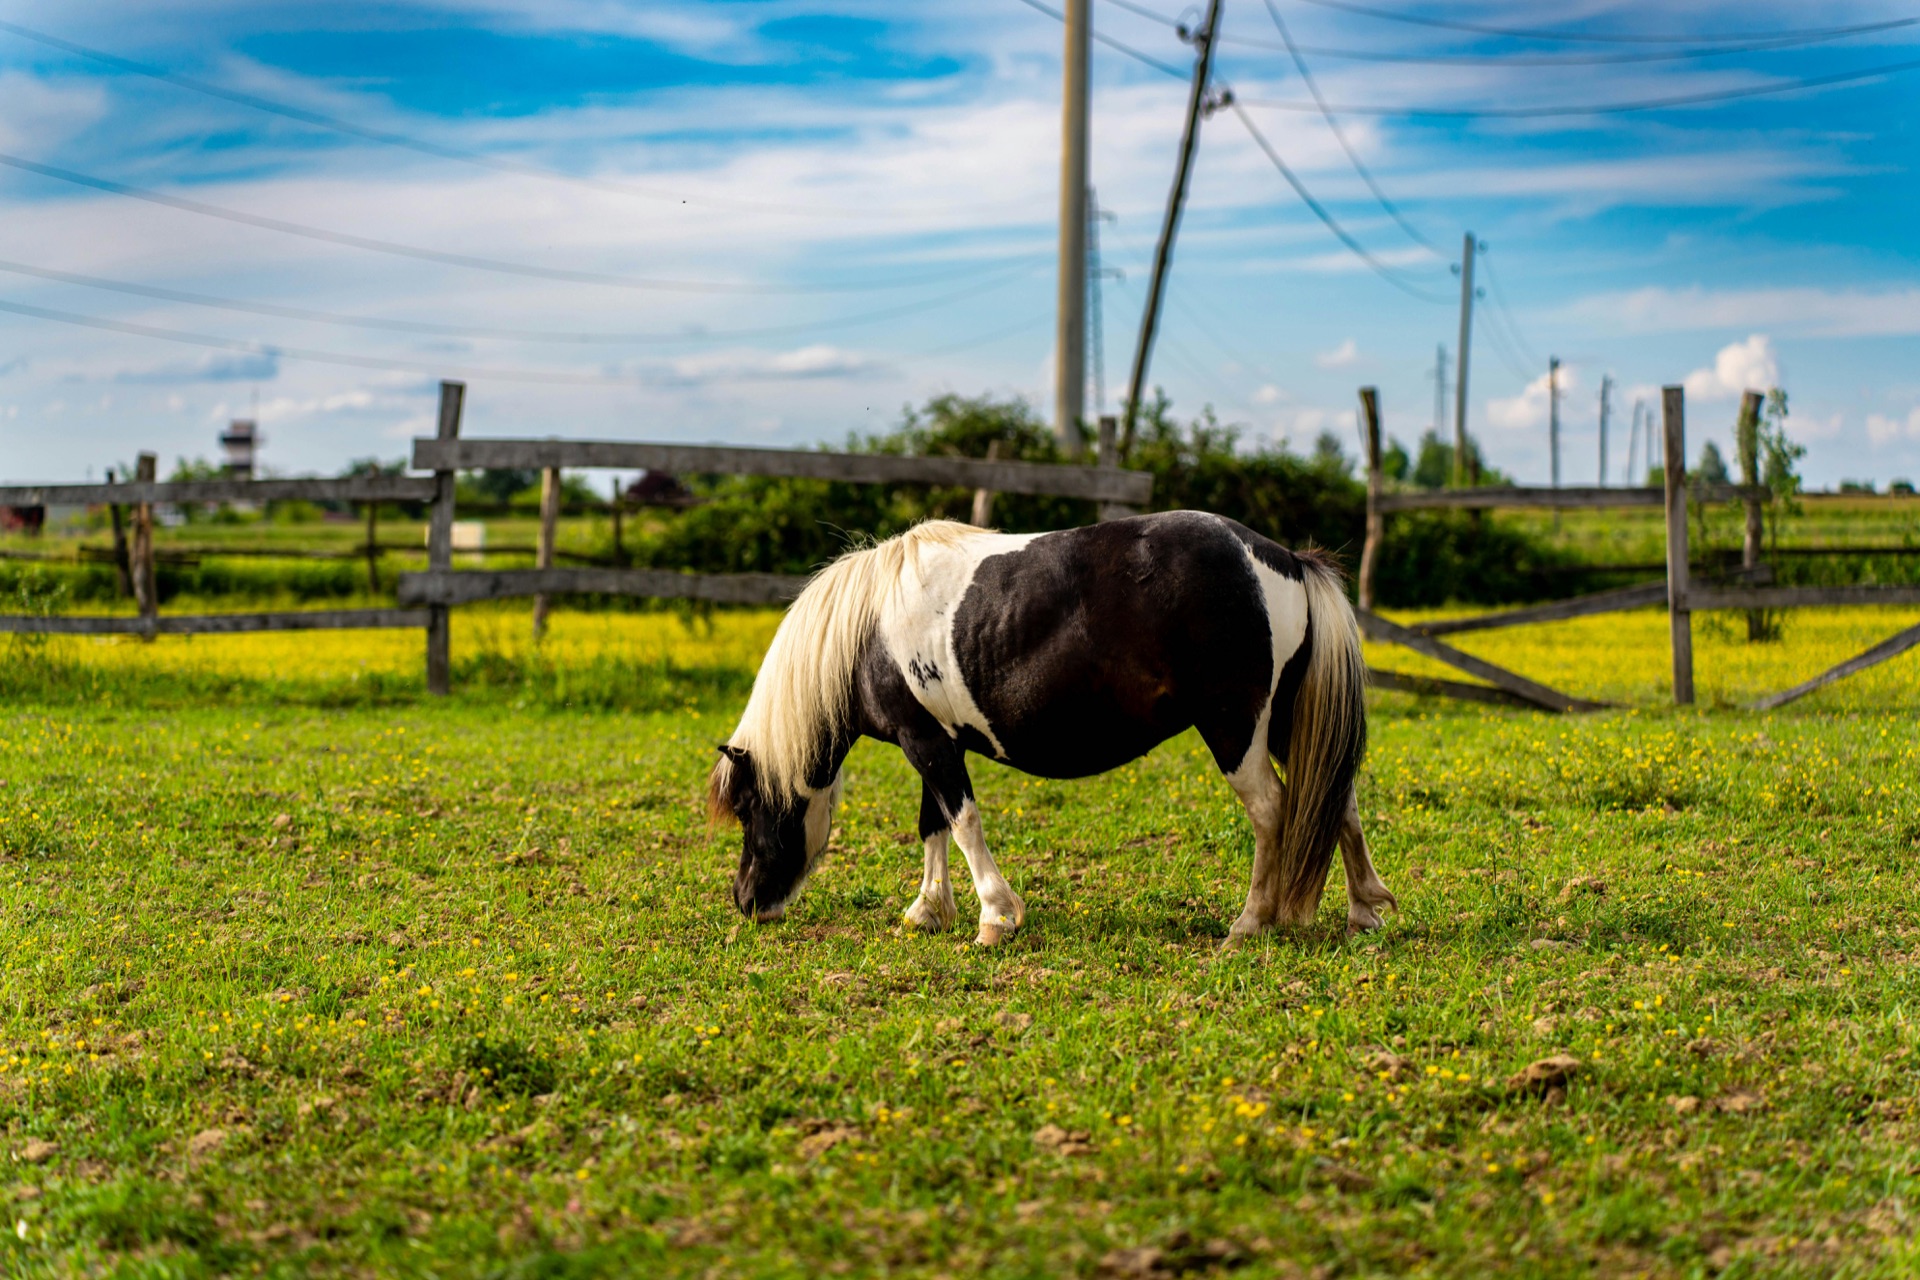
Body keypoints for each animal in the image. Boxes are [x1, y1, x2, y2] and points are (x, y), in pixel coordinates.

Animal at [706, 511, 1396, 946]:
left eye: (746, 809)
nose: (746, 902)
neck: (867, 633)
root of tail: (1282, 558)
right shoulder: (933, 741)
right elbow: (934, 825)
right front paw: (928, 911)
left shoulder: (926, 743)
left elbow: (963, 822)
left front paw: (995, 917)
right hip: (1286, 722)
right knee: (1340, 799)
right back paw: (1366, 911)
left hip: (1235, 729)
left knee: (1274, 810)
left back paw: (1251, 924)